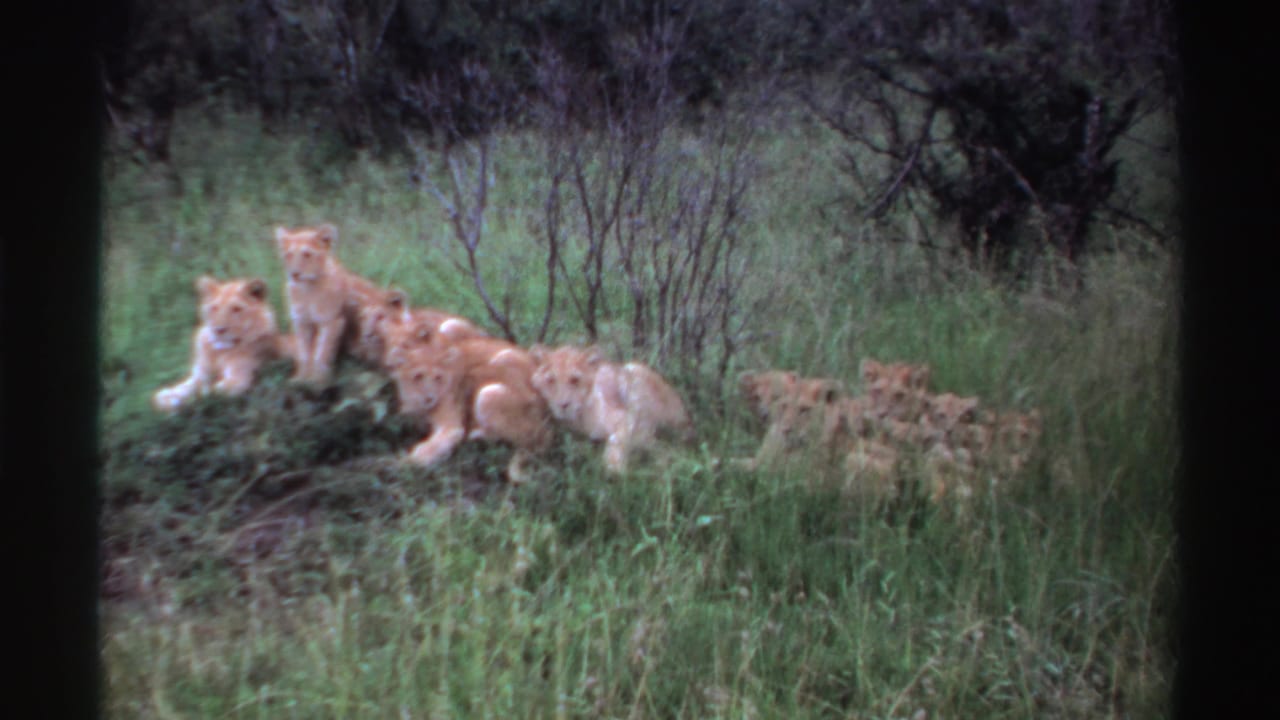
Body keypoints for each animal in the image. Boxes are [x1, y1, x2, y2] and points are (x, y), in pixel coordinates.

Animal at [152, 276, 291, 412]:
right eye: (214, 308)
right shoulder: (200, 374)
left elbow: (206, 393)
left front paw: (179, 403)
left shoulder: (238, 380)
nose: (218, 330)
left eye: (236, 309)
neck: (219, 351)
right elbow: (187, 387)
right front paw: (166, 397)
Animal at [275, 224, 385, 383]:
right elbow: (304, 353)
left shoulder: (332, 321)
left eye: (307, 254)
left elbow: (321, 352)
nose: (294, 274)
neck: (307, 289)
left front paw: (317, 379)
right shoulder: (301, 321)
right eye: (288, 255)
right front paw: (301, 378)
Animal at [393, 337, 552, 483]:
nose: (429, 398)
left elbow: (431, 446)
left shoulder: (451, 425)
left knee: (524, 439)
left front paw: (404, 462)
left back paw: (476, 435)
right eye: (417, 376)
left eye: (438, 377)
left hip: (489, 390)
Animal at [529, 345, 695, 474]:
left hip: (635, 373)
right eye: (550, 380)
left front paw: (614, 468)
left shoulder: (625, 416)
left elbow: (617, 438)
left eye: (575, 380)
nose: (563, 405)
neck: (580, 419)